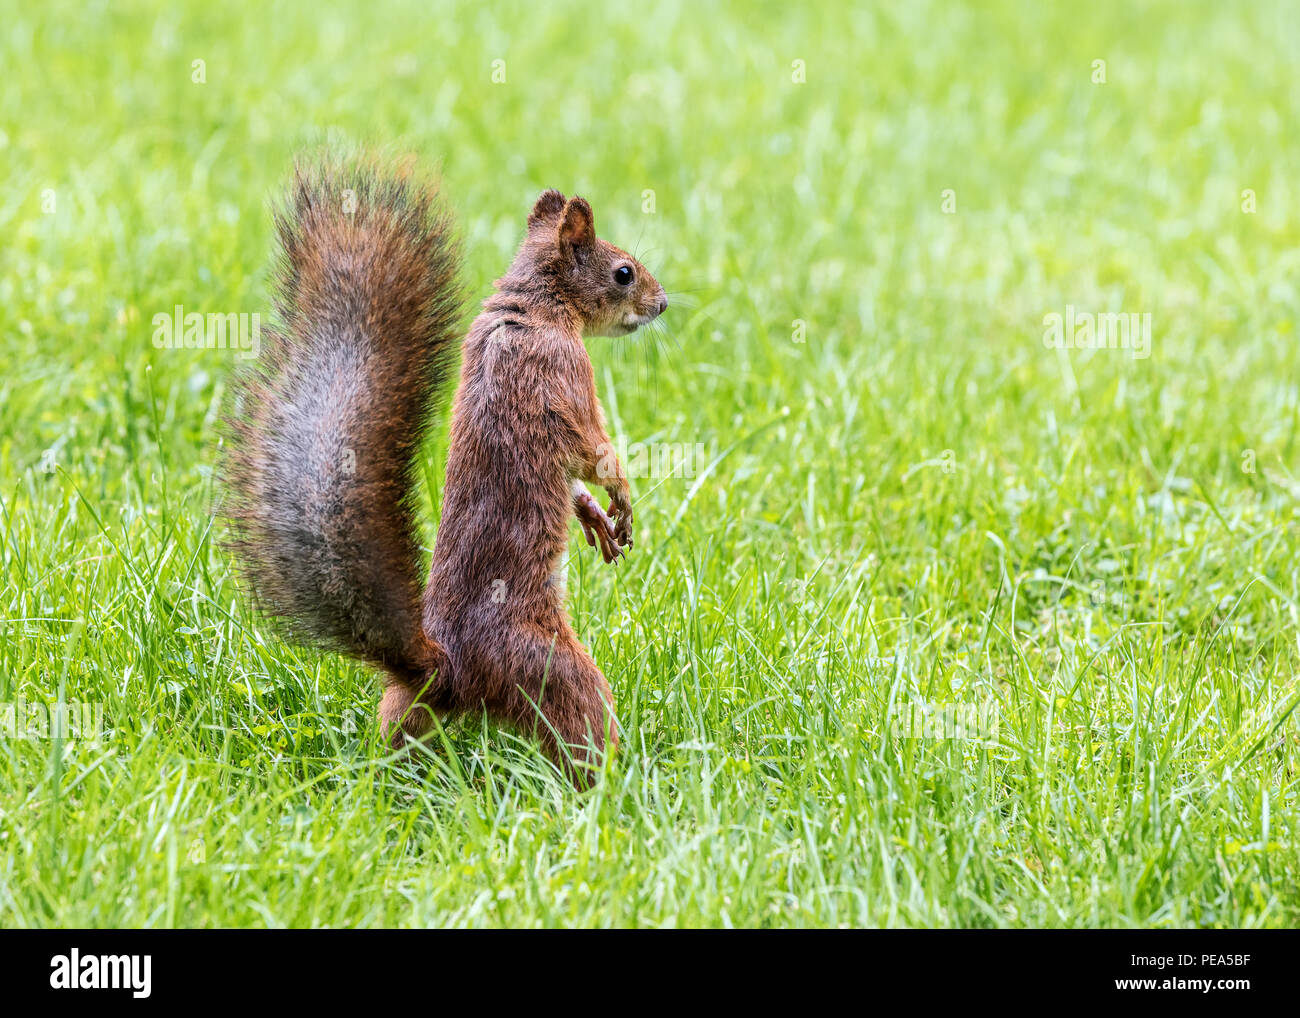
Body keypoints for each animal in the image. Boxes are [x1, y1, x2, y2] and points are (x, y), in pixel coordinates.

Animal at [221, 156, 667, 786]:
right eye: (624, 272)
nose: (663, 303)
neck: (536, 306)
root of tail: (447, 668)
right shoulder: (563, 376)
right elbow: (593, 448)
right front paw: (620, 496)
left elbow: (575, 477)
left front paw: (592, 515)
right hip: (550, 671)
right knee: (580, 724)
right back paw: (612, 784)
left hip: (410, 706)